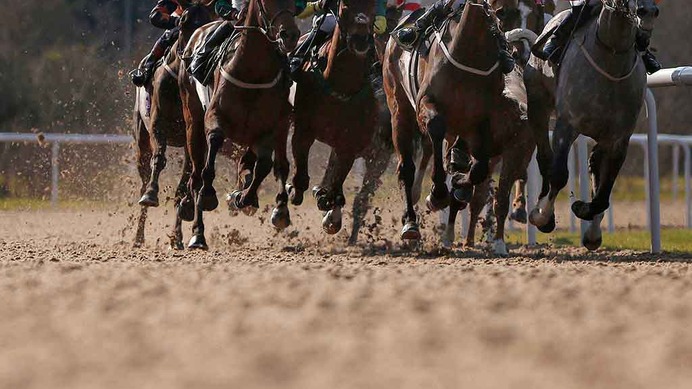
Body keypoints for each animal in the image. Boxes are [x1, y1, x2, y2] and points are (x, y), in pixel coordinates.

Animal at [132, 0, 214, 247]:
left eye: (210, 22)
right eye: (184, 21)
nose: (195, 56)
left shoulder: (192, 134)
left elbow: (184, 185)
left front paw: (179, 232)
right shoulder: (158, 123)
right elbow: (159, 159)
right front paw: (151, 194)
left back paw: (177, 236)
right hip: (141, 139)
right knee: (143, 175)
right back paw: (138, 236)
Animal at [184, 0, 300, 250]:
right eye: (266, 2)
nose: (290, 35)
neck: (252, 73)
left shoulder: (269, 128)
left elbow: (264, 165)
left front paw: (244, 197)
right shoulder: (213, 117)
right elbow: (214, 144)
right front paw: (209, 194)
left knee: (272, 164)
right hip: (192, 121)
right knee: (196, 176)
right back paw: (198, 234)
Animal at [286, 0, 378, 233]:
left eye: (373, 9)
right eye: (345, 7)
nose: (361, 40)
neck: (341, 88)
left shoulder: (350, 143)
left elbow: (335, 188)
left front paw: (329, 210)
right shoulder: (303, 130)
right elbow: (299, 180)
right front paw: (289, 194)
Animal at [384, 0, 536, 253]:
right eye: (503, 11)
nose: (517, 53)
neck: (469, 50)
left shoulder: (481, 122)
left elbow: (477, 170)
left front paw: (458, 186)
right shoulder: (427, 105)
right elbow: (436, 130)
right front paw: (437, 194)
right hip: (399, 109)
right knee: (406, 167)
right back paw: (411, 224)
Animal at [524, 0, 660, 249]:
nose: (646, 12)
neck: (612, 54)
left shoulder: (619, 138)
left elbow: (604, 191)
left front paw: (584, 212)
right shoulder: (567, 124)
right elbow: (559, 173)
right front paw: (542, 216)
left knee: (595, 166)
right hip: (537, 105)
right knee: (545, 158)